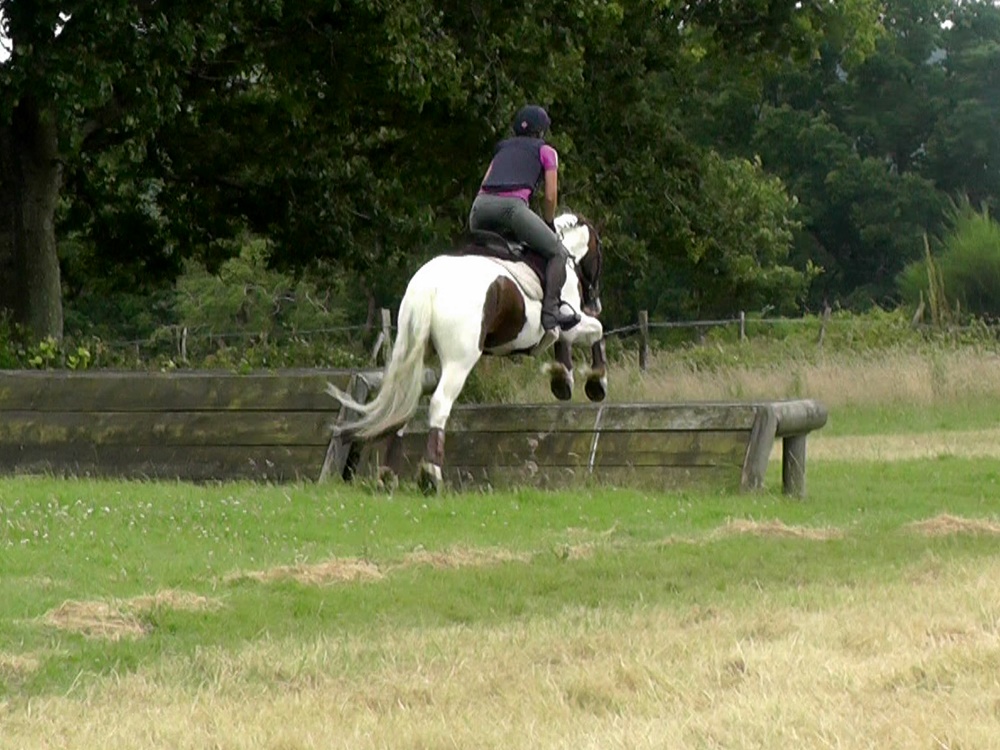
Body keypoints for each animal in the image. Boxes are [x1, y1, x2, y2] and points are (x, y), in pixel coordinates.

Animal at [327, 211, 606, 493]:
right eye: (600, 251)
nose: (596, 302)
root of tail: (429, 285)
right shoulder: (572, 321)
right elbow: (597, 331)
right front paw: (595, 382)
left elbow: (573, 341)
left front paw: (563, 379)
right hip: (459, 361)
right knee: (440, 403)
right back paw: (431, 476)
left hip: (415, 348)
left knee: (407, 400)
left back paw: (388, 476)